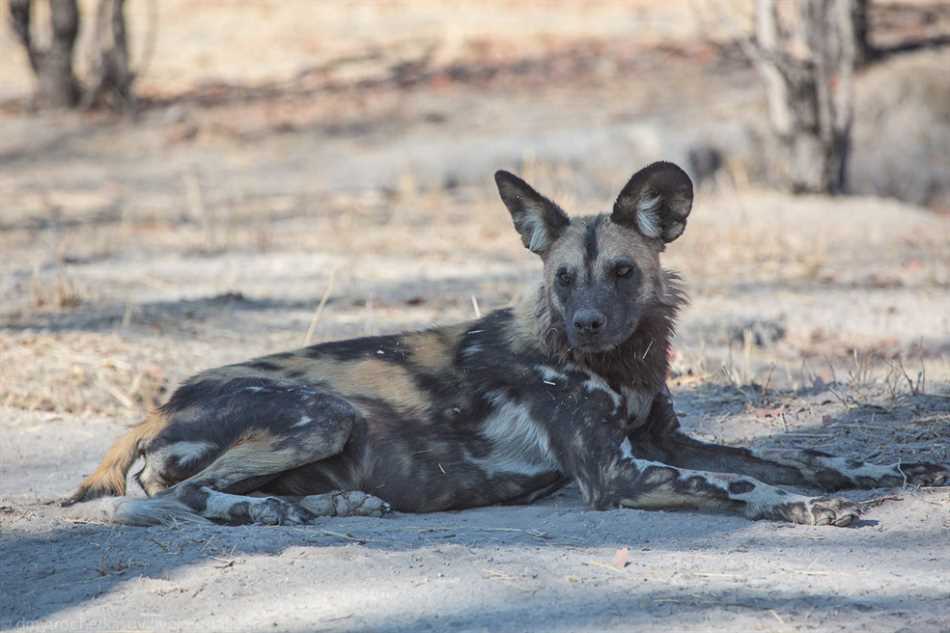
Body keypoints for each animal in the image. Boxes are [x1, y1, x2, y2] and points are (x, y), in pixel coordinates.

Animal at [69, 162, 950, 524]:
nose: (587, 323)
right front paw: (803, 507)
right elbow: (743, 484)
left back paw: (334, 503)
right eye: (564, 279)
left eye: (622, 272)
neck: (614, 367)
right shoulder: (617, 473)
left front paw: (876, 470)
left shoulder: (667, 439)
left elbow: (795, 455)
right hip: (319, 414)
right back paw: (272, 512)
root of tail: (156, 407)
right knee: (177, 494)